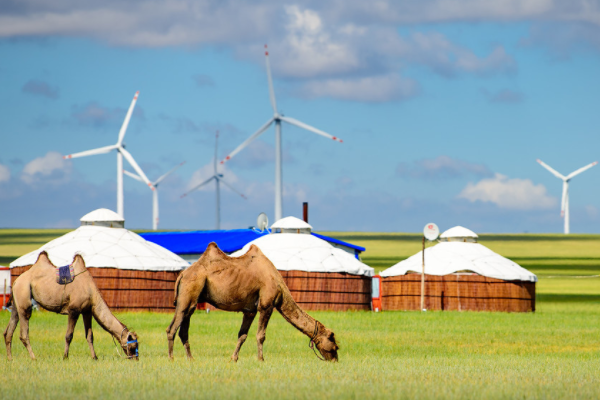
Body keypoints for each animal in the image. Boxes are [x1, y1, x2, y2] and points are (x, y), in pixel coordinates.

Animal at [3, 252, 137, 360]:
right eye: (133, 345)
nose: (136, 358)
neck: (92, 292)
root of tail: (15, 281)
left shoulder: (87, 311)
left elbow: (90, 336)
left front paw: (95, 357)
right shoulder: (74, 309)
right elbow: (69, 335)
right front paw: (65, 357)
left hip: (16, 304)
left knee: (8, 330)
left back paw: (10, 359)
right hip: (24, 295)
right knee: (24, 332)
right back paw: (33, 358)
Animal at [166, 244, 340, 362]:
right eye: (334, 343)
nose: (335, 360)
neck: (280, 286)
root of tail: (182, 274)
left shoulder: (250, 310)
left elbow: (242, 335)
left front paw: (233, 359)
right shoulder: (266, 305)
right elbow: (260, 335)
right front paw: (261, 359)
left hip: (192, 299)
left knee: (184, 329)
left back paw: (191, 359)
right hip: (189, 290)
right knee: (172, 328)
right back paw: (172, 359)